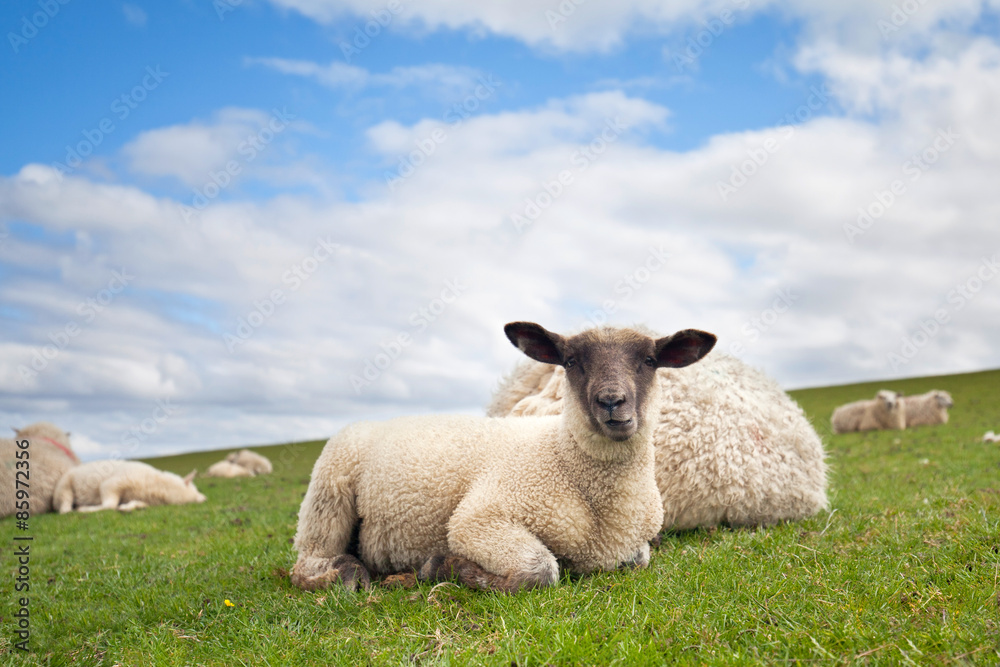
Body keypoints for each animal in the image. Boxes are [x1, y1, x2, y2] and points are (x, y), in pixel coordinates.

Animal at [52, 461, 206, 513]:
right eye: (195, 488)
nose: (205, 498)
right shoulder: (111, 484)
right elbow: (109, 505)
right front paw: (85, 509)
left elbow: (138, 504)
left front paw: (126, 507)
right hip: (64, 486)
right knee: (64, 506)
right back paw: (70, 509)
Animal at [292, 322, 717, 593]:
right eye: (571, 361)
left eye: (650, 361)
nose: (612, 402)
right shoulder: (480, 519)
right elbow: (541, 569)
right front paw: (445, 567)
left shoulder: (633, 545)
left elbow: (640, 558)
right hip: (328, 497)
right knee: (305, 563)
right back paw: (345, 574)